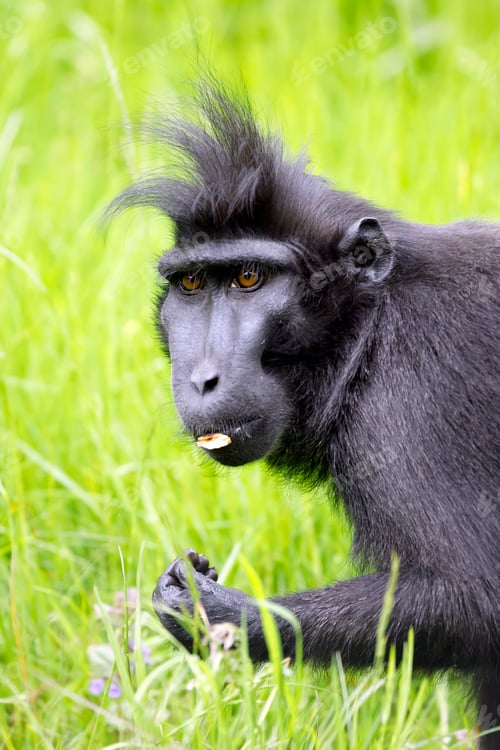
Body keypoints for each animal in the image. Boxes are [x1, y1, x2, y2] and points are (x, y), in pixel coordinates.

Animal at [108, 81, 500, 748]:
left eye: (248, 278)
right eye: (192, 285)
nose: (201, 378)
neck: (368, 323)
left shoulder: (417, 383)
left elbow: (472, 595)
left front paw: (221, 614)